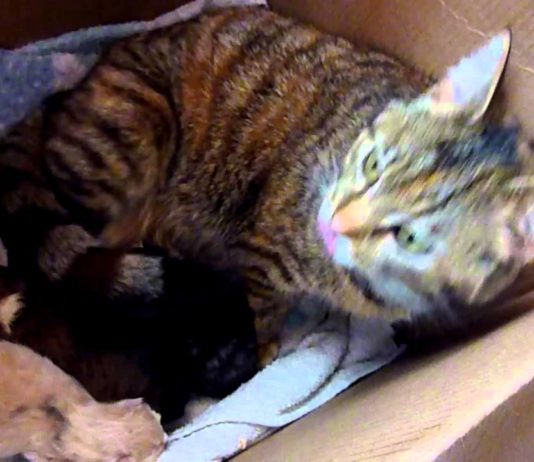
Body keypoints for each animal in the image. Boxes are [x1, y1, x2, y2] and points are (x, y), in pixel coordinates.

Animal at [3, 6, 534, 359]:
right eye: (373, 164)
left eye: (410, 238)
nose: (334, 222)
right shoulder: (262, 256)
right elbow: (263, 315)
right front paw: (263, 352)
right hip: (131, 131)